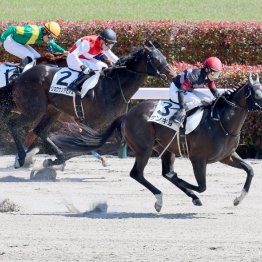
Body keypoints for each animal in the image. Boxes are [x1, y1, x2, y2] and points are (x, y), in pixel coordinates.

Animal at [0, 41, 176, 168]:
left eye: (164, 57)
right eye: (156, 59)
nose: (173, 74)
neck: (113, 86)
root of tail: (20, 77)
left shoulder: (115, 121)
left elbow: (113, 143)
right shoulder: (91, 121)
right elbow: (87, 142)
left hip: (52, 110)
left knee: (39, 131)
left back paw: (58, 157)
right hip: (34, 110)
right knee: (14, 123)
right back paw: (23, 157)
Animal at [51, 74, 262, 213]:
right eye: (257, 94)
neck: (221, 122)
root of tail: (127, 115)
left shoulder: (226, 156)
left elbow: (250, 170)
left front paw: (237, 199)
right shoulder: (198, 159)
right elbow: (201, 186)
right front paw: (191, 189)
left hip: (165, 148)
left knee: (164, 172)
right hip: (144, 148)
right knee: (138, 173)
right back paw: (161, 199)